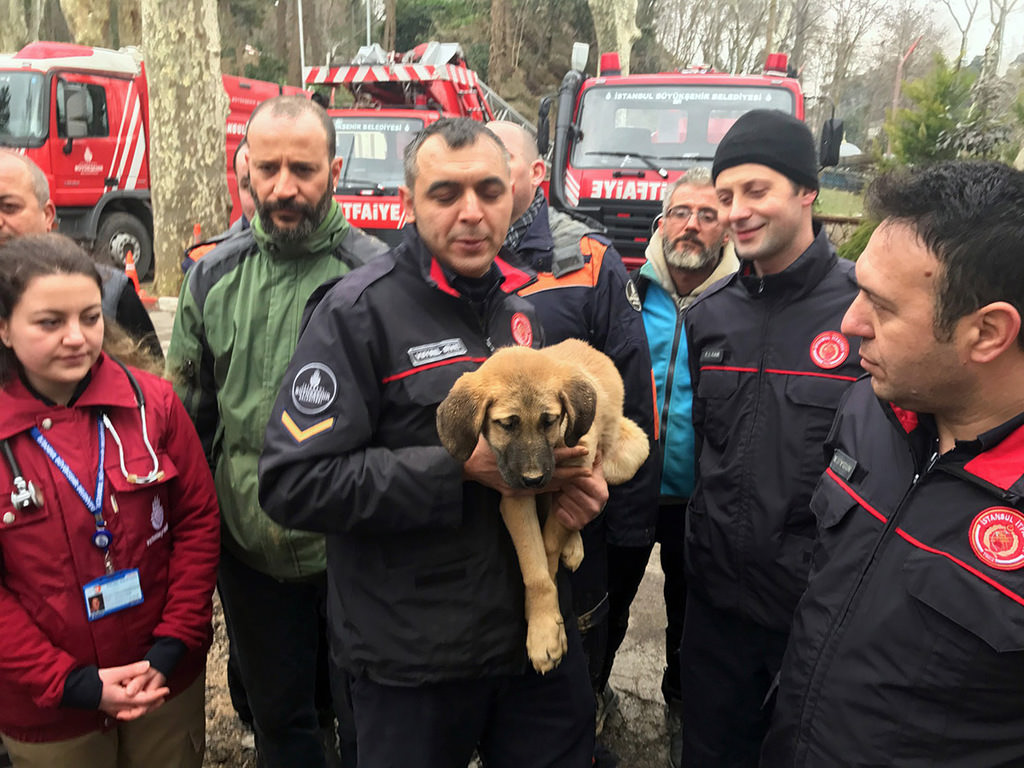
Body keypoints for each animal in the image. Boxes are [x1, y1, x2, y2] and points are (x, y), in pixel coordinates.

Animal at [438, 339, 647, 671]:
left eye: (548, 420)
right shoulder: (515, 498)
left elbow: (547, 550)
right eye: (507, 424)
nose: (534, 479)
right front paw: (544, 625)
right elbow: (535, 567)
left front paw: (546, 626)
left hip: (626, 456)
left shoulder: (575, 481)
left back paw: (573, 545)